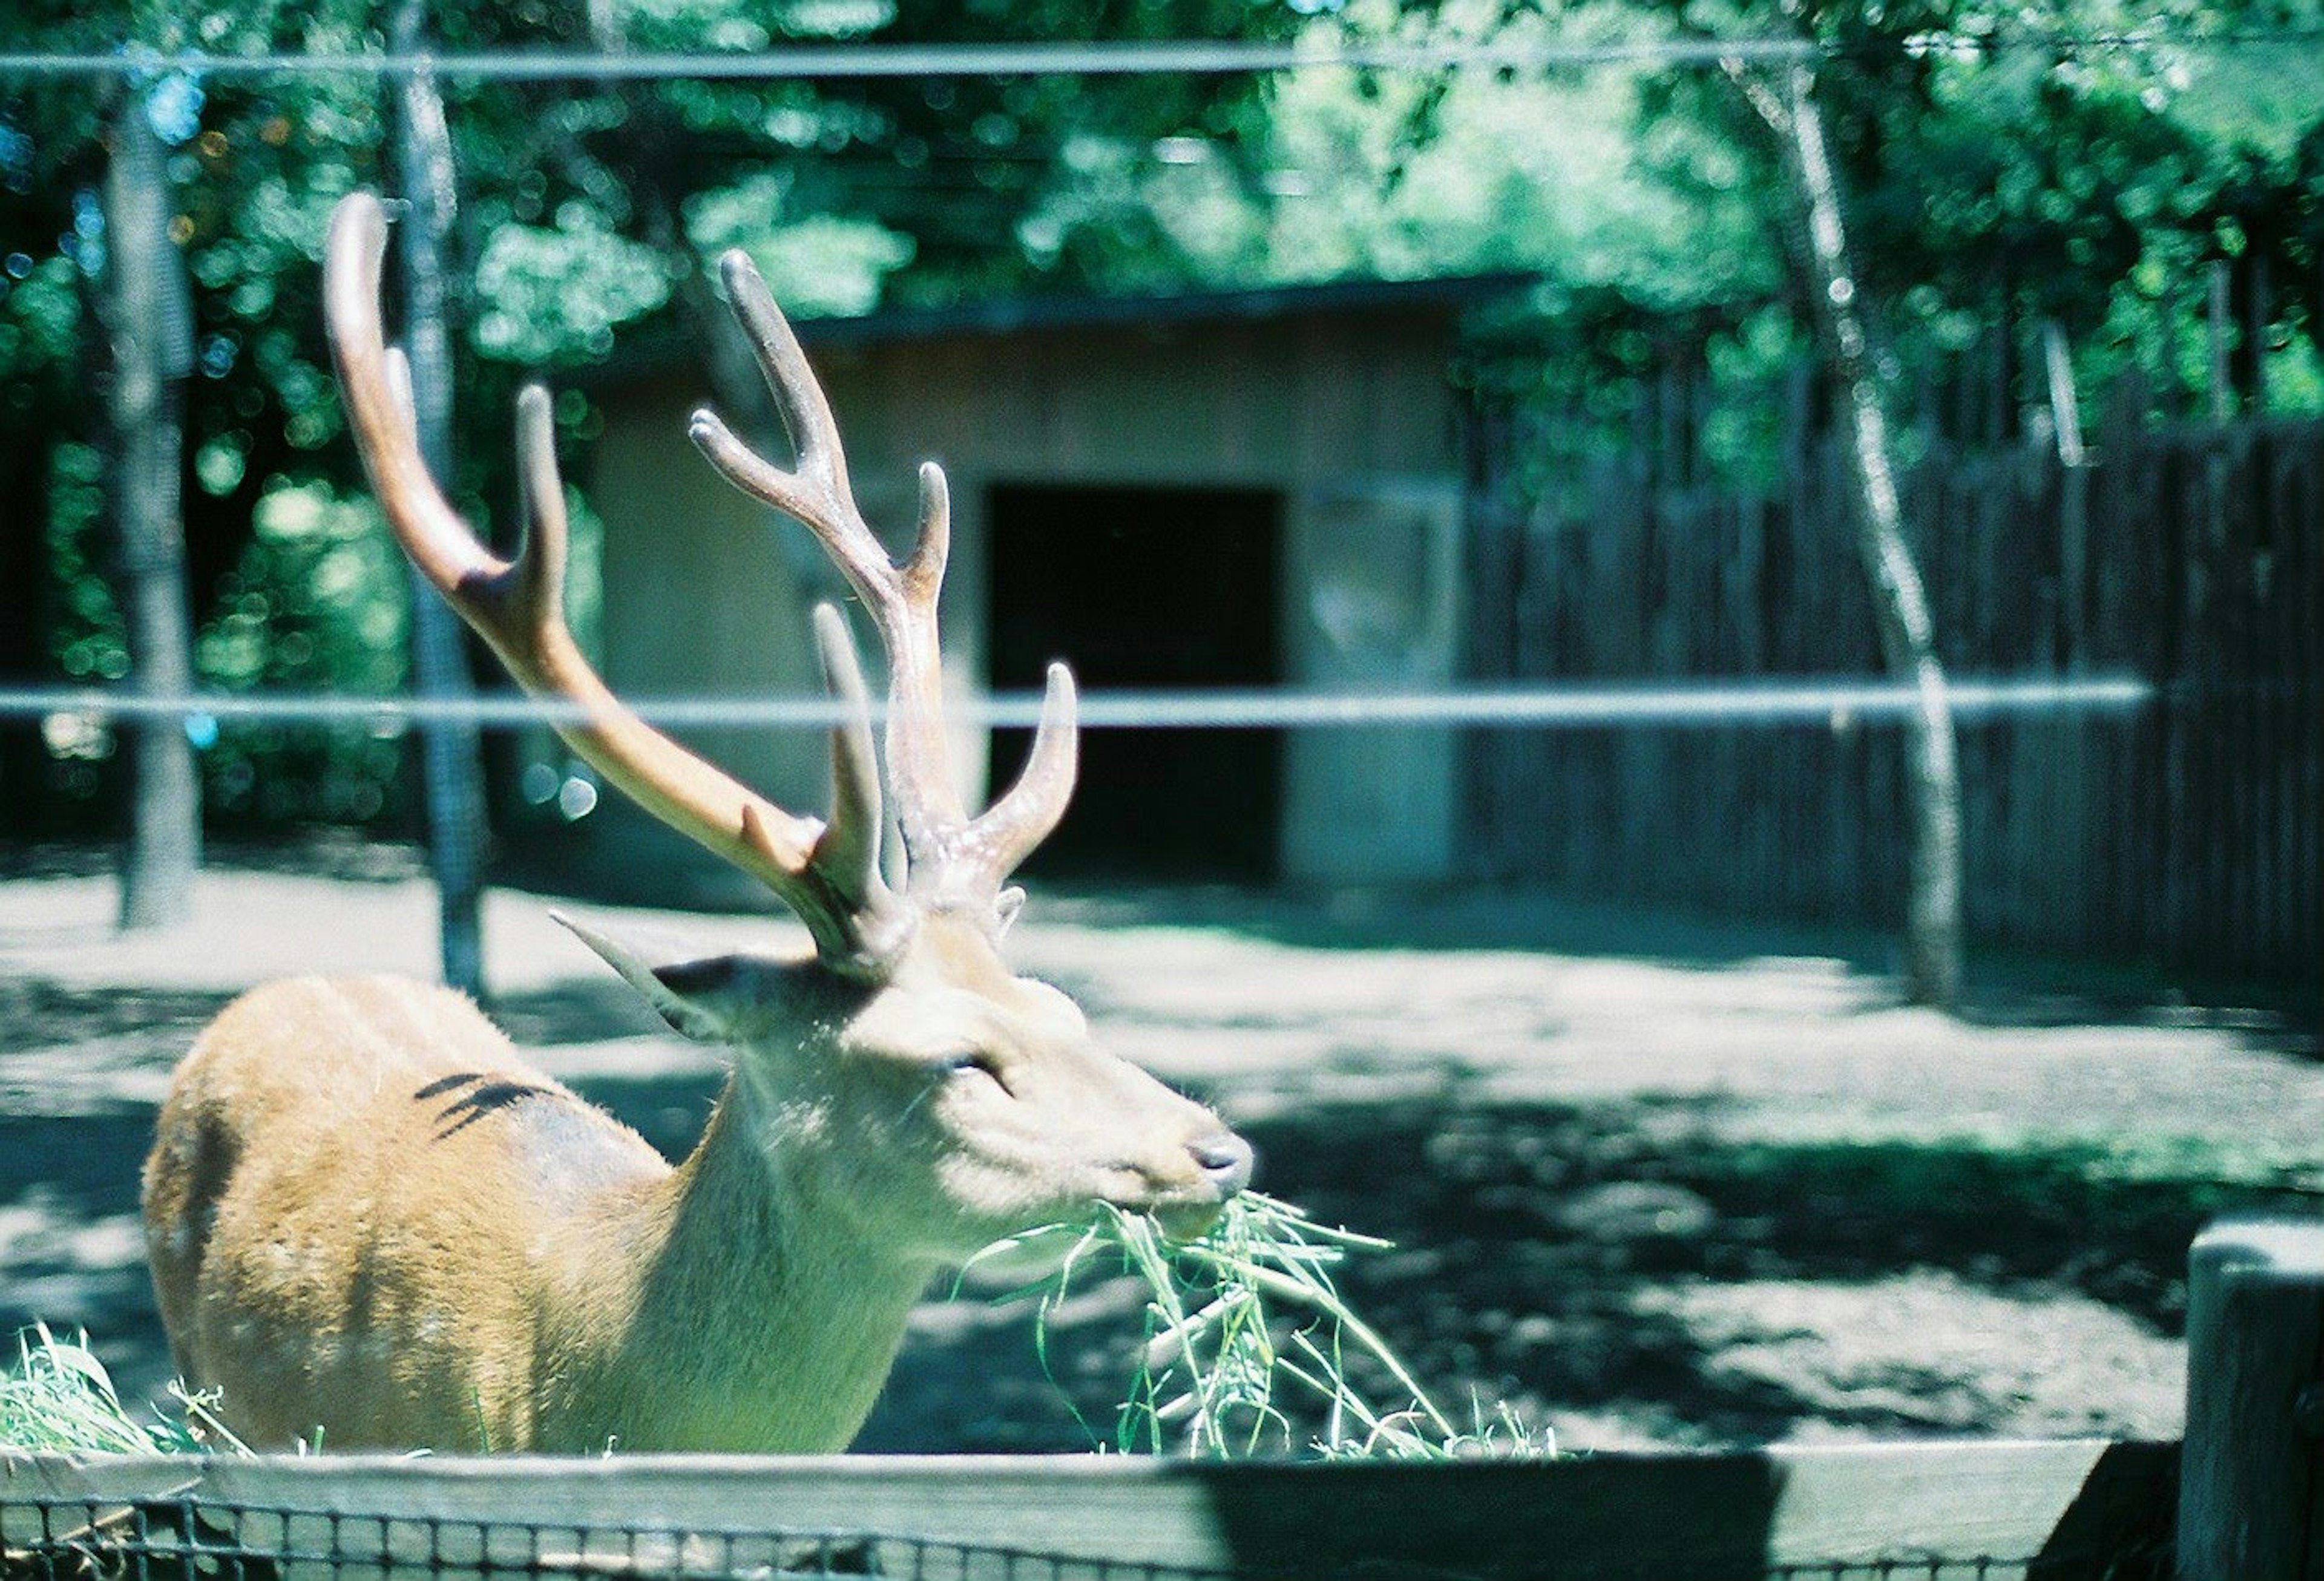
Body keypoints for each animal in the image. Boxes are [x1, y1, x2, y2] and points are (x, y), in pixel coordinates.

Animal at [140, 194, 1255, 1460]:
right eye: (955, 1059)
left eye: (1061, 1005)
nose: (1221, 1148)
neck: (570, 1387)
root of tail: (265, 995)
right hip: (199, 1378)